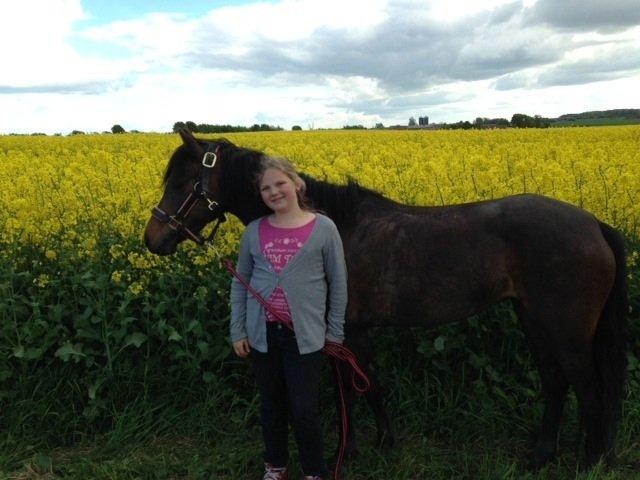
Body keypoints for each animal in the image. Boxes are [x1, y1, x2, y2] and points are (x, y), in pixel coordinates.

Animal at [142, 130, 628, 468]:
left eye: (185, 181)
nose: (153, 239)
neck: (335, 225)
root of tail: (594, 224)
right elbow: (365, 384)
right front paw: (378, 441)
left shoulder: (347, 328)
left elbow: (353, 387)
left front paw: (357, 447)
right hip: (534, 320)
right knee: (556, 382)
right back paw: (543, 455)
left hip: (566, 330)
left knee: (587, 386)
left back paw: (591, 460)